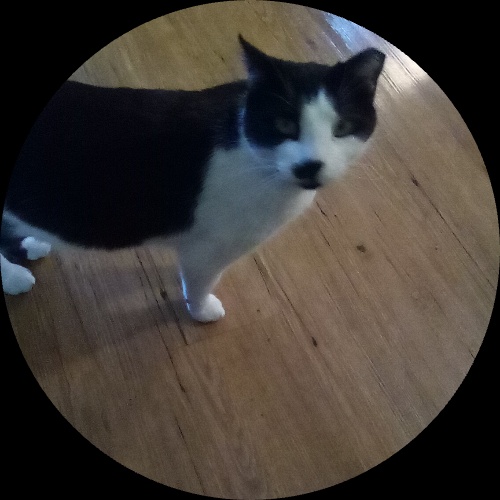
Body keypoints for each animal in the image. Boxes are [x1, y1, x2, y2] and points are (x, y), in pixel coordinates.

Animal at [1, 36, 385, 322]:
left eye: (343, 127)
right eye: (284, 124)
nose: (310, 165)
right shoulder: (209, 248)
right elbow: (201, 281)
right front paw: (201, 310)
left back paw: (31, 243)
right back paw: (15, 277)